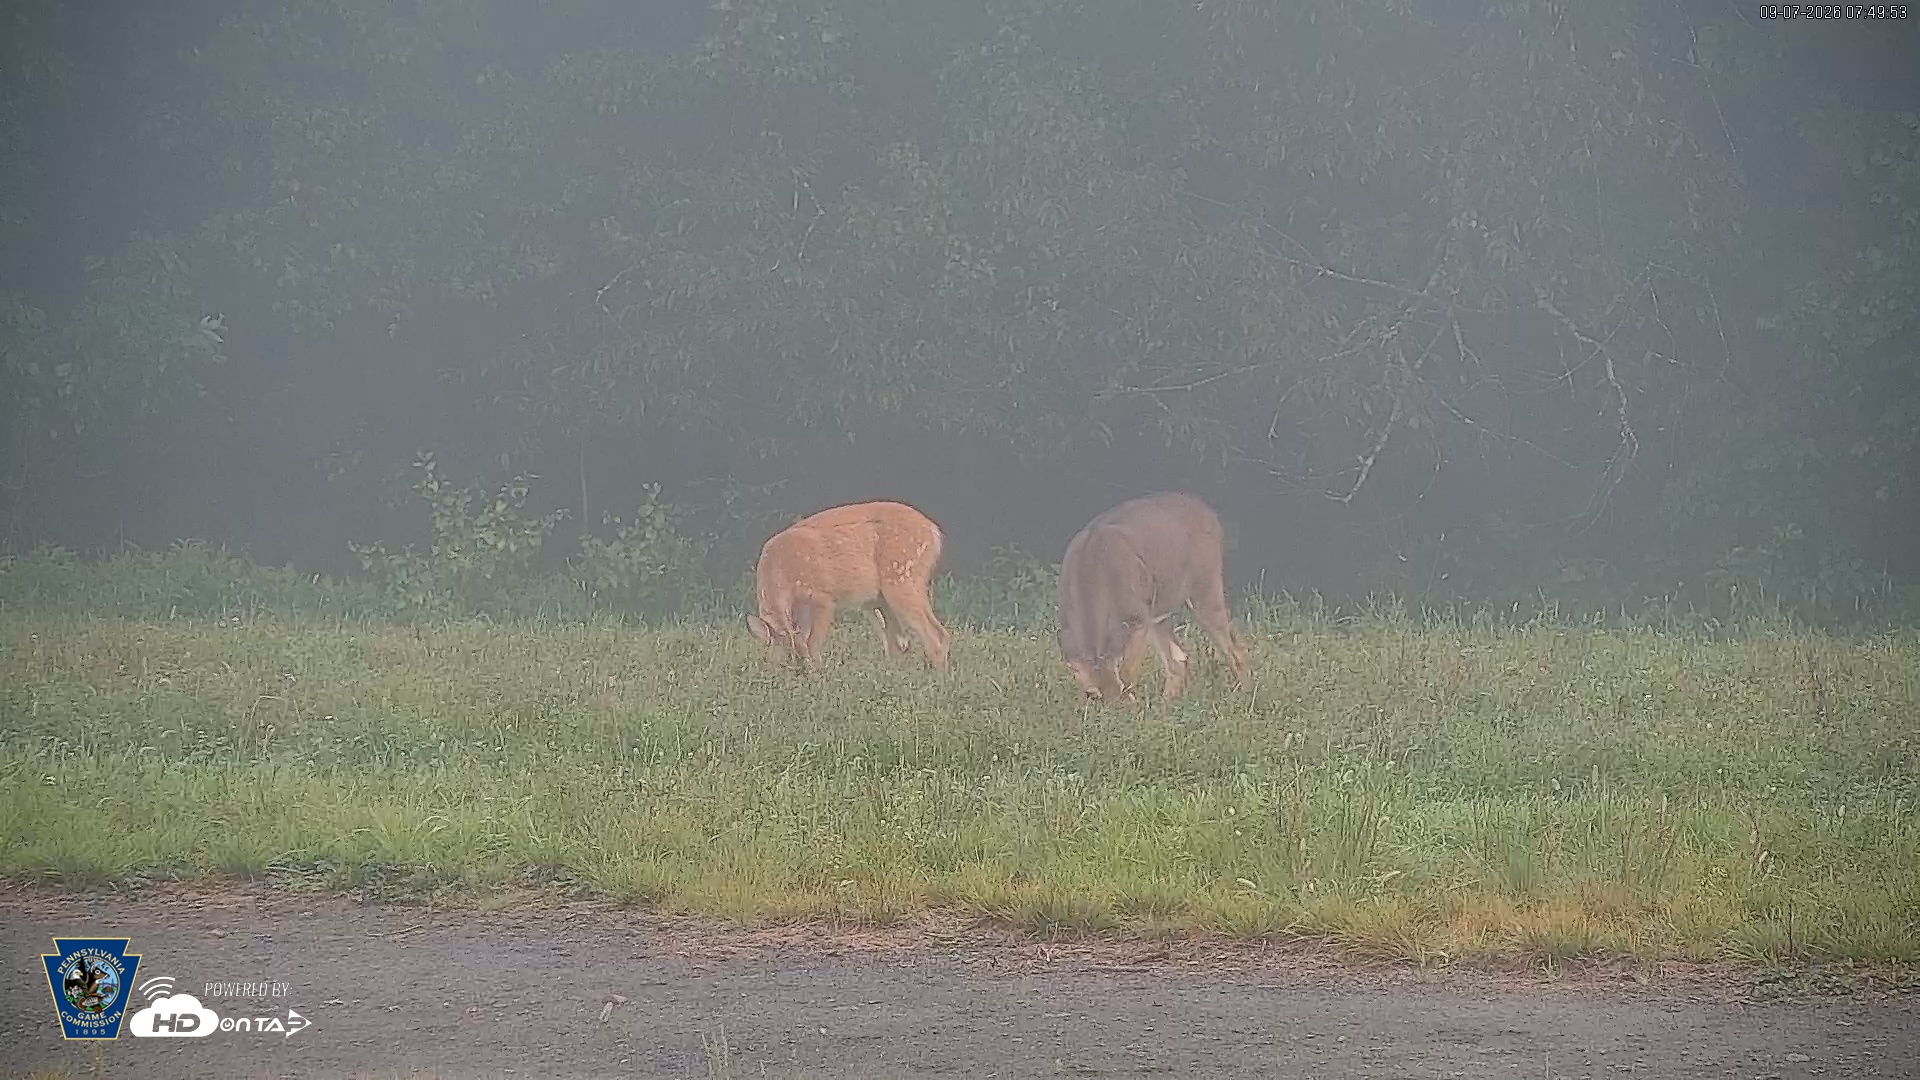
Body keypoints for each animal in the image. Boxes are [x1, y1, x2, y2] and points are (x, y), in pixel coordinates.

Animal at [746, 500, 952, 671]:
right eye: (780, 663)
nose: (800, 674)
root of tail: (934, 530)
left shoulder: (824, 597)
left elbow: (813, 644)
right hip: (877, 599)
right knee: (898, 642)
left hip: (902, 578)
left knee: (936, 636)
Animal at [1056, 491, 1248, 702]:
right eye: (1092, 695)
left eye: (1120, 692)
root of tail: (1210, 513)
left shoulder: (1136, 618)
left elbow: (1128, 673)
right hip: (1158, 609)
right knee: (1179, 659)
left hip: (1205, 585)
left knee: (1234, 649)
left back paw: (1245, 695)